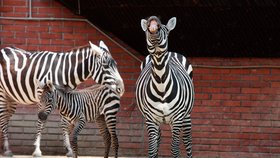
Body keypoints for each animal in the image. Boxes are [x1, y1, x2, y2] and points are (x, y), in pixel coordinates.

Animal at [136, 15, 195, 157]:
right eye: (147, 29)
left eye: (165, 30)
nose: (153, 21)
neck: (161, 84)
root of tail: (172, 52)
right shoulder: (150, 119)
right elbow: (152, 149)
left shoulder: (177, 118)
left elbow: (175, 149)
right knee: (158, 138)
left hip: (186, 115)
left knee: (187, 139)